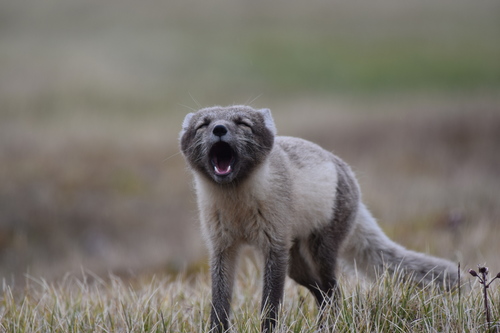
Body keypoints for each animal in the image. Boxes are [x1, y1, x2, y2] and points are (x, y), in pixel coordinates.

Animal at [179, 105, 458, 330]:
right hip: (296, 264)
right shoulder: (222, 248)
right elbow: (219, 302)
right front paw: (217, 329)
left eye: (243, 123)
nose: (219, 128)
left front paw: (269, 329)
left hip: (319, 251)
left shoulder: (274, 246)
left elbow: (270, 303)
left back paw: (329, 325)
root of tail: (347, 172)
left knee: (333, 292)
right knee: (321, 294)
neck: (237, 207)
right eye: (203, 124)